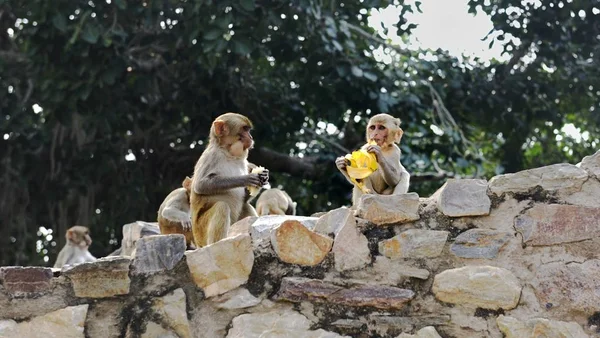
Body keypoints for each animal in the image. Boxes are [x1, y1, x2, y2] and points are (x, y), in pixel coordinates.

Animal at [191, 112, 268, 247]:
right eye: (244, 129)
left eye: (248, 130)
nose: (251, 137)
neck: (229, 153)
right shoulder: (212, 156)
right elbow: (200, 185)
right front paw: (246, 178)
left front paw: (263, 178)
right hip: (201, 234)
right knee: (221, 207)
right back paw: (219, 243)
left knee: (245, 206)